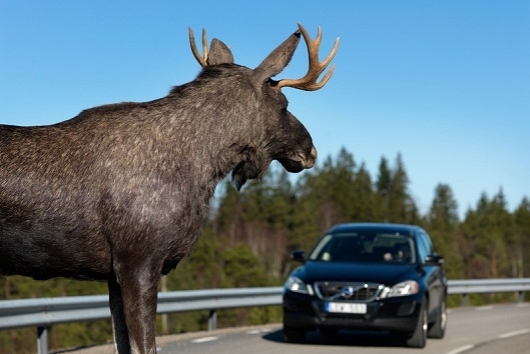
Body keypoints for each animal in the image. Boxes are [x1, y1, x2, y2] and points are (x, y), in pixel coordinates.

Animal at [0, 24, 338, 354]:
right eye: (284, 105)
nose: (310, 150)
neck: (201, 169)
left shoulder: (113, 273)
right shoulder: (138, 260)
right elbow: (145, 346)